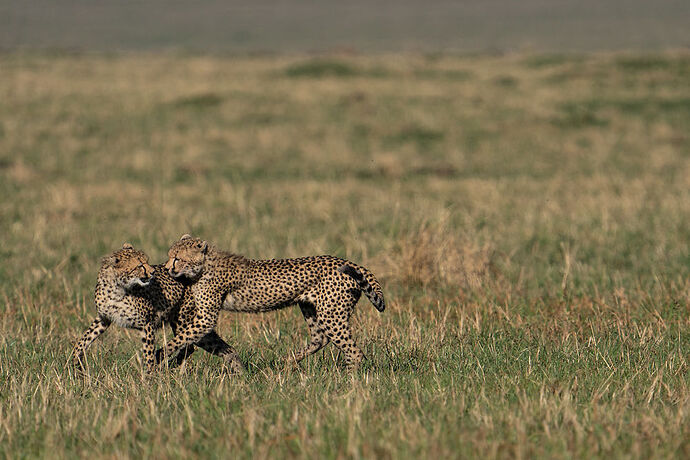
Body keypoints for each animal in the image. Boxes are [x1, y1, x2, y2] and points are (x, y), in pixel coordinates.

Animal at [71, 244, 243, 374]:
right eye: (140, 266)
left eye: (146, 262)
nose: (153, 272)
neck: (116, 287)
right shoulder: (103, 319)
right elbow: (83, 339)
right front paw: (73, 363)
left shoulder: (146, 324)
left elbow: (148, 353)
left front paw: (149, 377)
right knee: (223, 348)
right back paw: (237, 371)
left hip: (184, 322)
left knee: (188, 346)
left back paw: (170, 365)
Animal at [156, 235, 384, 368]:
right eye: (170, 256)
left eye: (177, 258)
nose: (167, 268)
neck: (204, 265)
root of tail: (347, 261)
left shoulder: (206, 318)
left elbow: (182, 337)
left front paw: (159, 354)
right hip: (311, 308)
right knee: (320, 339)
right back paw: (288, 362)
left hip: (331, 314)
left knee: (354, 352)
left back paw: (350, 383)